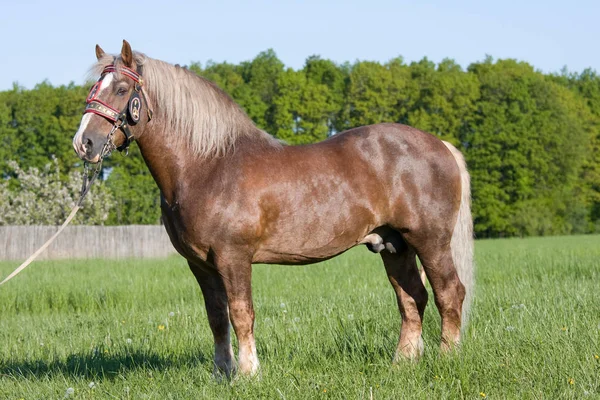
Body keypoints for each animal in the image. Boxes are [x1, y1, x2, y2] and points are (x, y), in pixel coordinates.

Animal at [72, 40, 474, 378]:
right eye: (92, 89)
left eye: (121, 90)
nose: (84, 143)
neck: (208, 165)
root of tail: (441, 145)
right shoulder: (201, 264)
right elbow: (216, 317)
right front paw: (222, 373)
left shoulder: (233, 257)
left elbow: (241, 314)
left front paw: (249, 373)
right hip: (393, 246)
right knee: (412, 298)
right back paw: (402, 363)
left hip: (430, 241)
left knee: (450, 293)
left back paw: (447, 359)